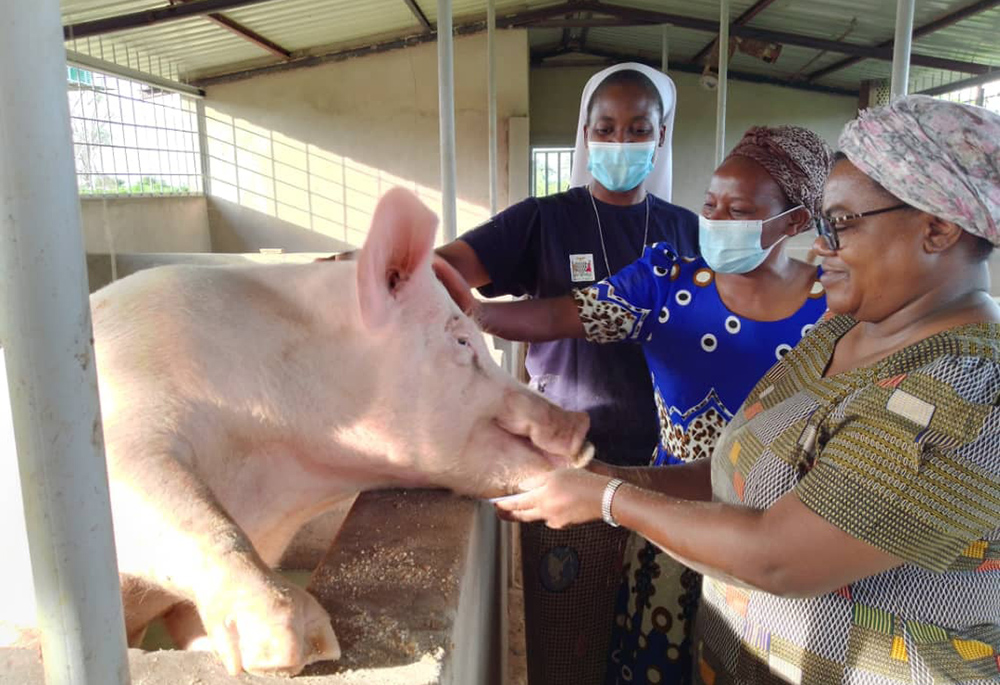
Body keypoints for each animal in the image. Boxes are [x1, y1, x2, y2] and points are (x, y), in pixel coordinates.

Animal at [0, 187, 588, 672]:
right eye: (462, 341)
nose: (580, 422)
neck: (280, 471)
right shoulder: (115, 424)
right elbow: (178, 502)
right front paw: (306, 646)